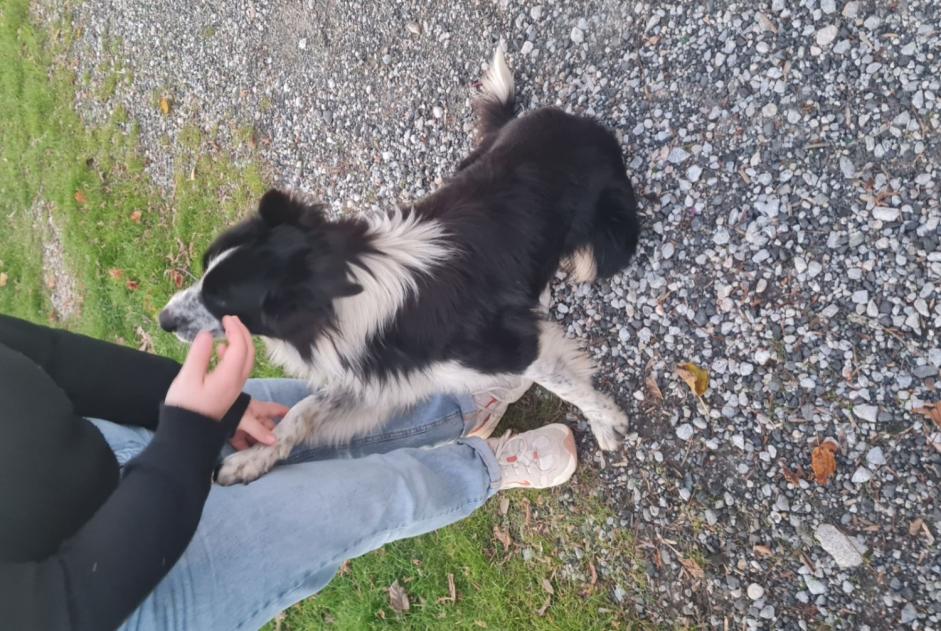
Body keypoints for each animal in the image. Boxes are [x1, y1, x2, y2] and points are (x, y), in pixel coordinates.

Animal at [158, 47, 640, 486]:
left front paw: (606, 421)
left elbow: (567, 384)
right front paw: (254, 457)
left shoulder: (514, 348)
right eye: (204, 269)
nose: (162, 320)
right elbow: (303, 409)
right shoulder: (383, 377)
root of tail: (569, 120)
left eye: (222, 302)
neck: (342, 287)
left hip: (609, 247)